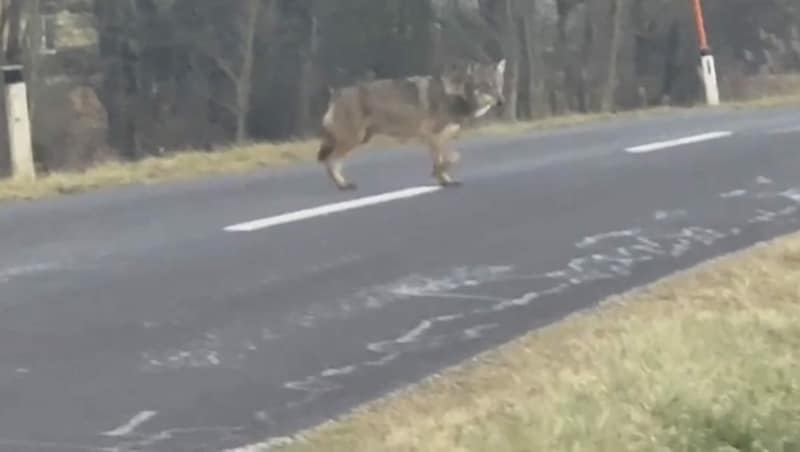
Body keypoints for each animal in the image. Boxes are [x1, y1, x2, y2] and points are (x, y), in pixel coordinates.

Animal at [316, 57, 504, 189]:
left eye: (499, 86)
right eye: (486, 85)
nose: (501, 101)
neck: (457, 95)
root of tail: (336, 93)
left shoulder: (440, 138)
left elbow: (445, 160)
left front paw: (445, 181)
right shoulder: (432, 134)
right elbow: (453, 158)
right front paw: (438, 174)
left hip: (359, 140)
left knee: (333, 163)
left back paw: (344, 184)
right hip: (353, 139)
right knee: (330, 163)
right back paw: (343, 185)